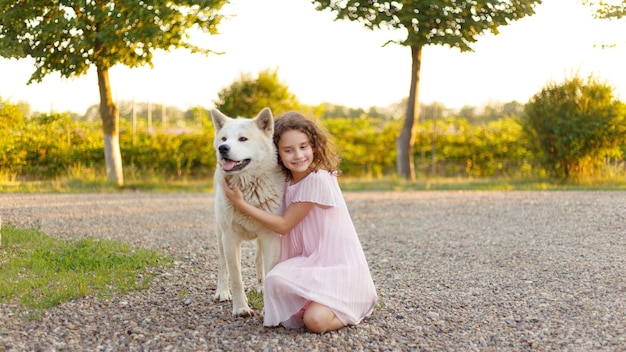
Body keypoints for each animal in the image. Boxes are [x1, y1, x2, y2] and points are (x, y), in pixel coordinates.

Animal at [211, 108, 284, 316]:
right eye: (224, 138)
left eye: (243, 139)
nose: (223, 148)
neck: (248, 190)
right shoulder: (230, 239)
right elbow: (236, 278)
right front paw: (241, 308)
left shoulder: (271, 237)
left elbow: (268, 270)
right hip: (220, 236)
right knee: (223, 265)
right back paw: (222, 292)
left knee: (259, 260)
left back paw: (260, 287)